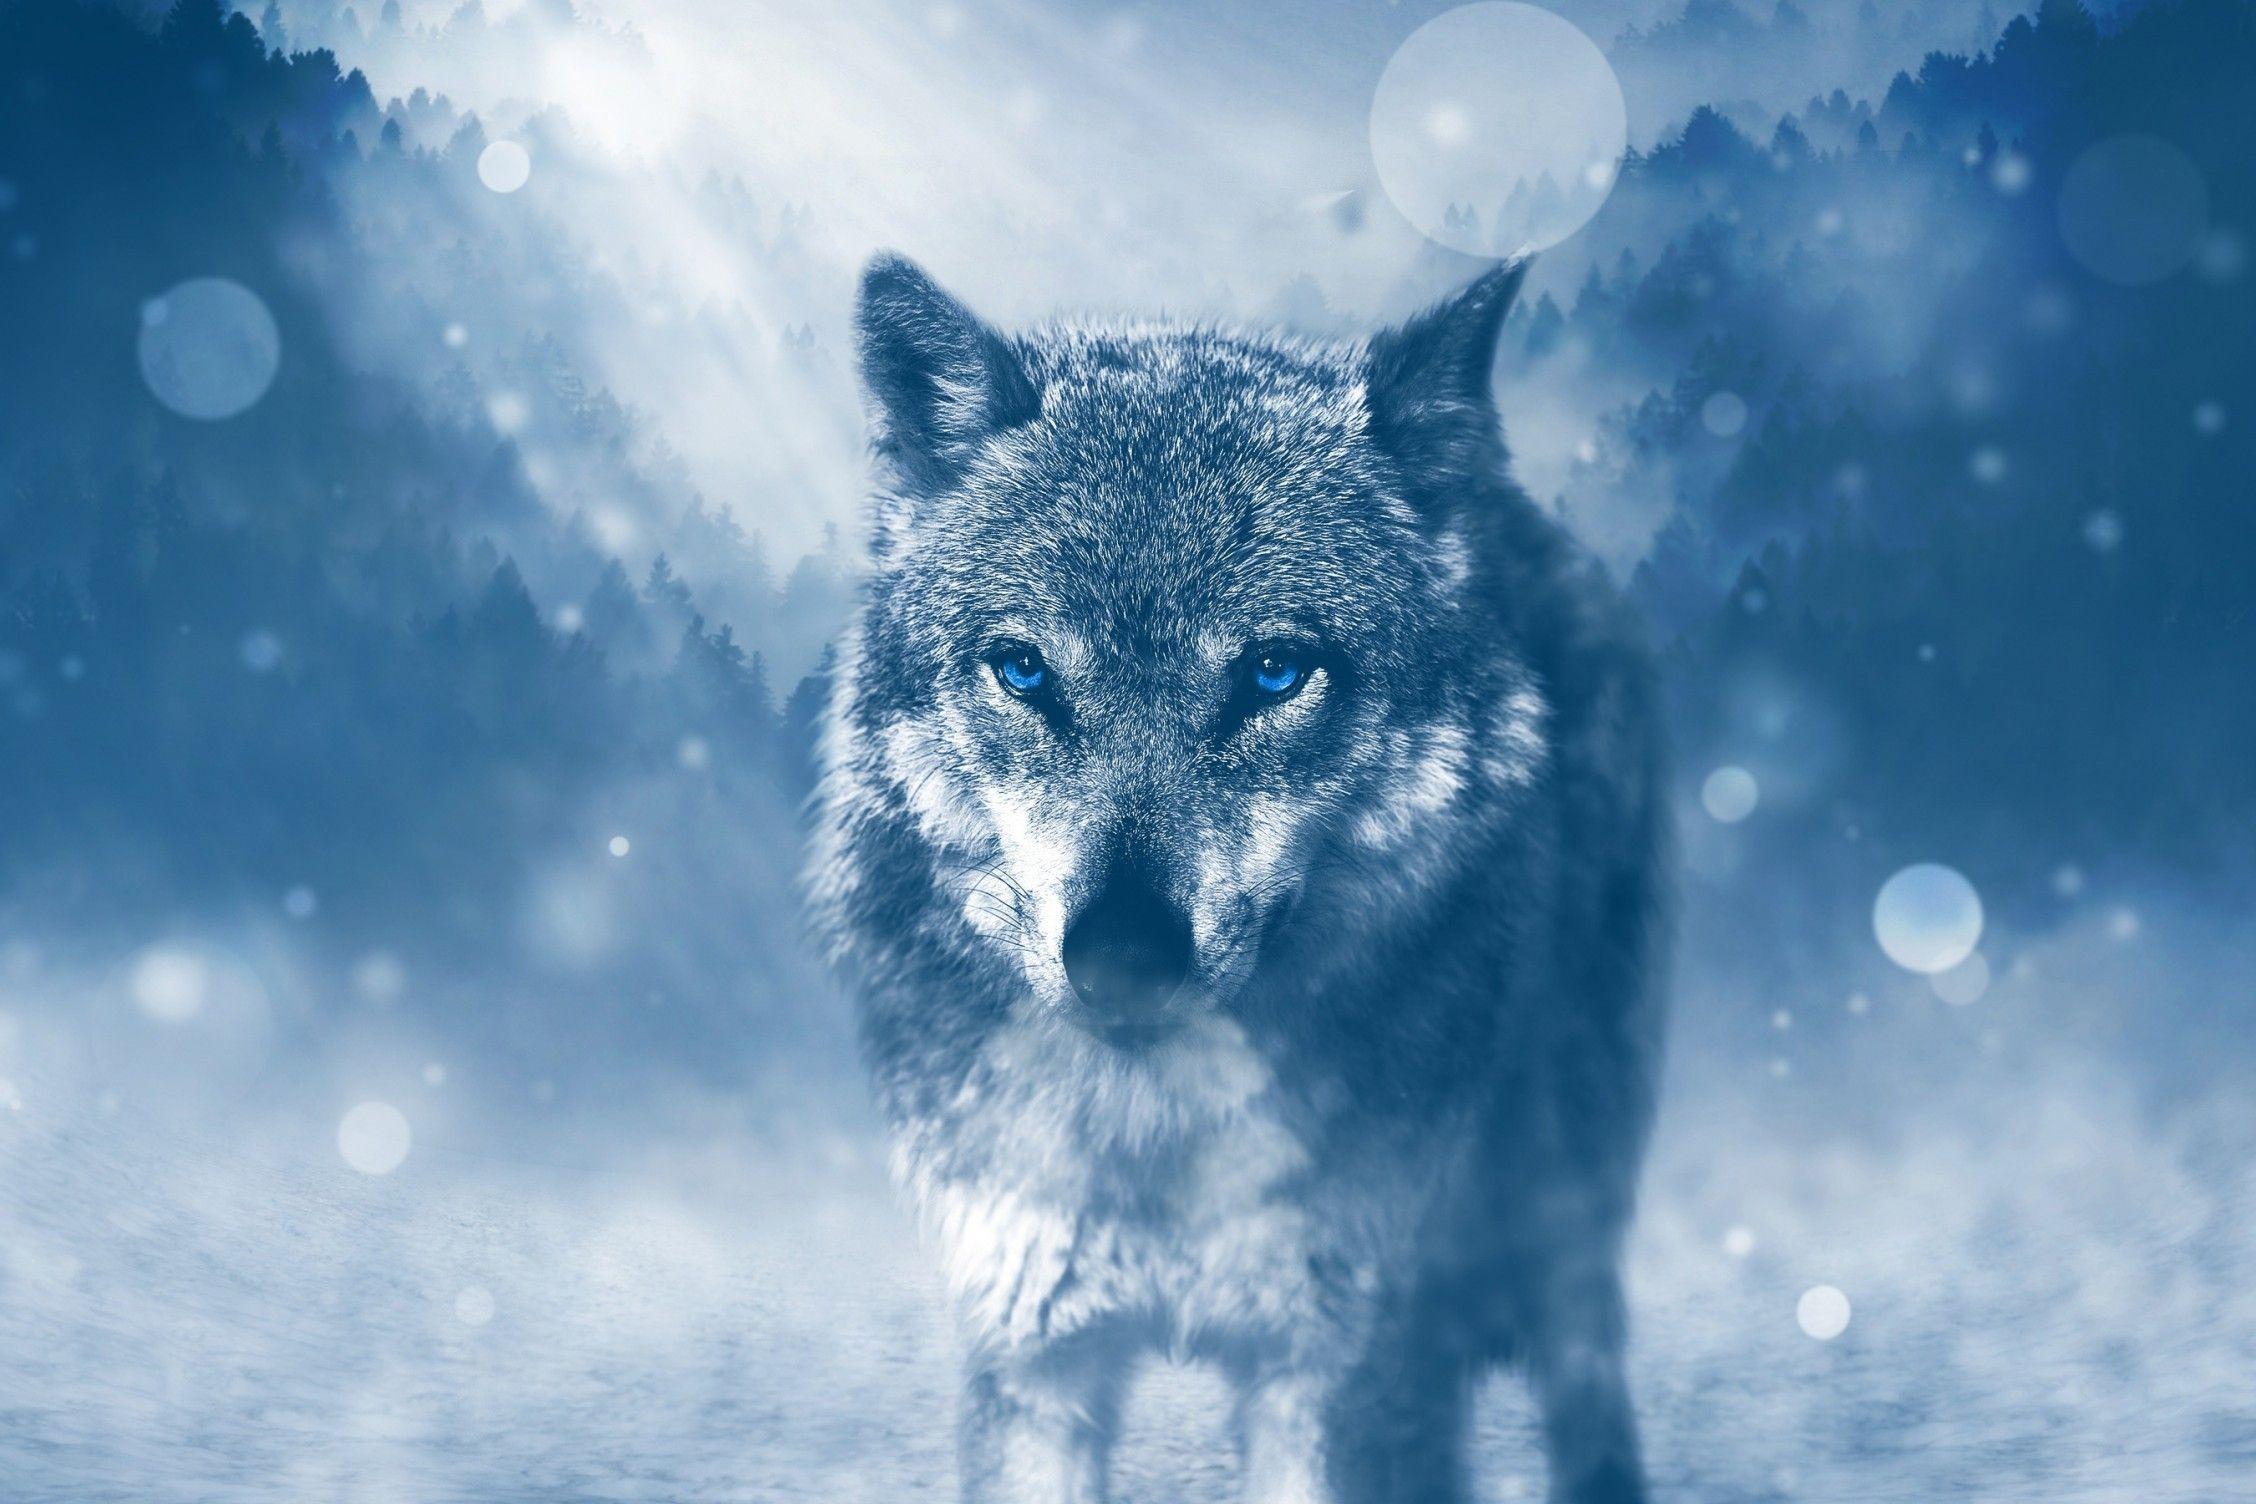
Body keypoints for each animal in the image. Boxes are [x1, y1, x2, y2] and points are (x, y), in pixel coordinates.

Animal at [807, 252, 1669, 1504]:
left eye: (1273, 671)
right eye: (1023, 670)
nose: (1121, 956)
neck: (1156, 1135)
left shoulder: (1342, 1366)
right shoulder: (1033, 1352)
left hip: (1564, 1188)